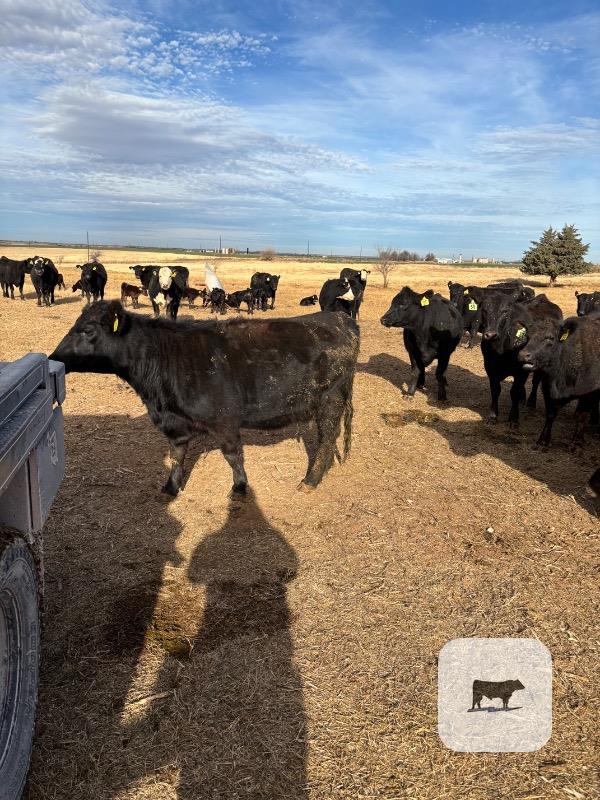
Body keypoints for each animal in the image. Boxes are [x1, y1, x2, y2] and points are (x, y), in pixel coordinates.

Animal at [49, 301, 359, 496]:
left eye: (88, 330)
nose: (54, 356)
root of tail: (339, 318)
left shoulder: (224, 420)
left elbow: (233, 455)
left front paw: (240, 488)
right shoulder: (175, 424)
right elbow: (177, 456)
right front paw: (171, 487)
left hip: (330, 399)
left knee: (327, 439)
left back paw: (310, 481)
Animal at [479, 291, 561, 427]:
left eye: (505, 311)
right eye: (484, 309)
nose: (491, 334)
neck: (501, 350)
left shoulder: (521, 371)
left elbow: (514, 392)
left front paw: (513, 418)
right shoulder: (490, 368)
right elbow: (495, 390)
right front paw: (493, 416)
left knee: (535, 382)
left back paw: (531, 402)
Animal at [517, 312, 600, 448]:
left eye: (550, 338)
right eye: (527, 336)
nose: (523, 355)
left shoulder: (589, 393)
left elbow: (581, 416)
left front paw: (576, 443)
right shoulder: (547, 388)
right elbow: (550, 414)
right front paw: (543, 440)